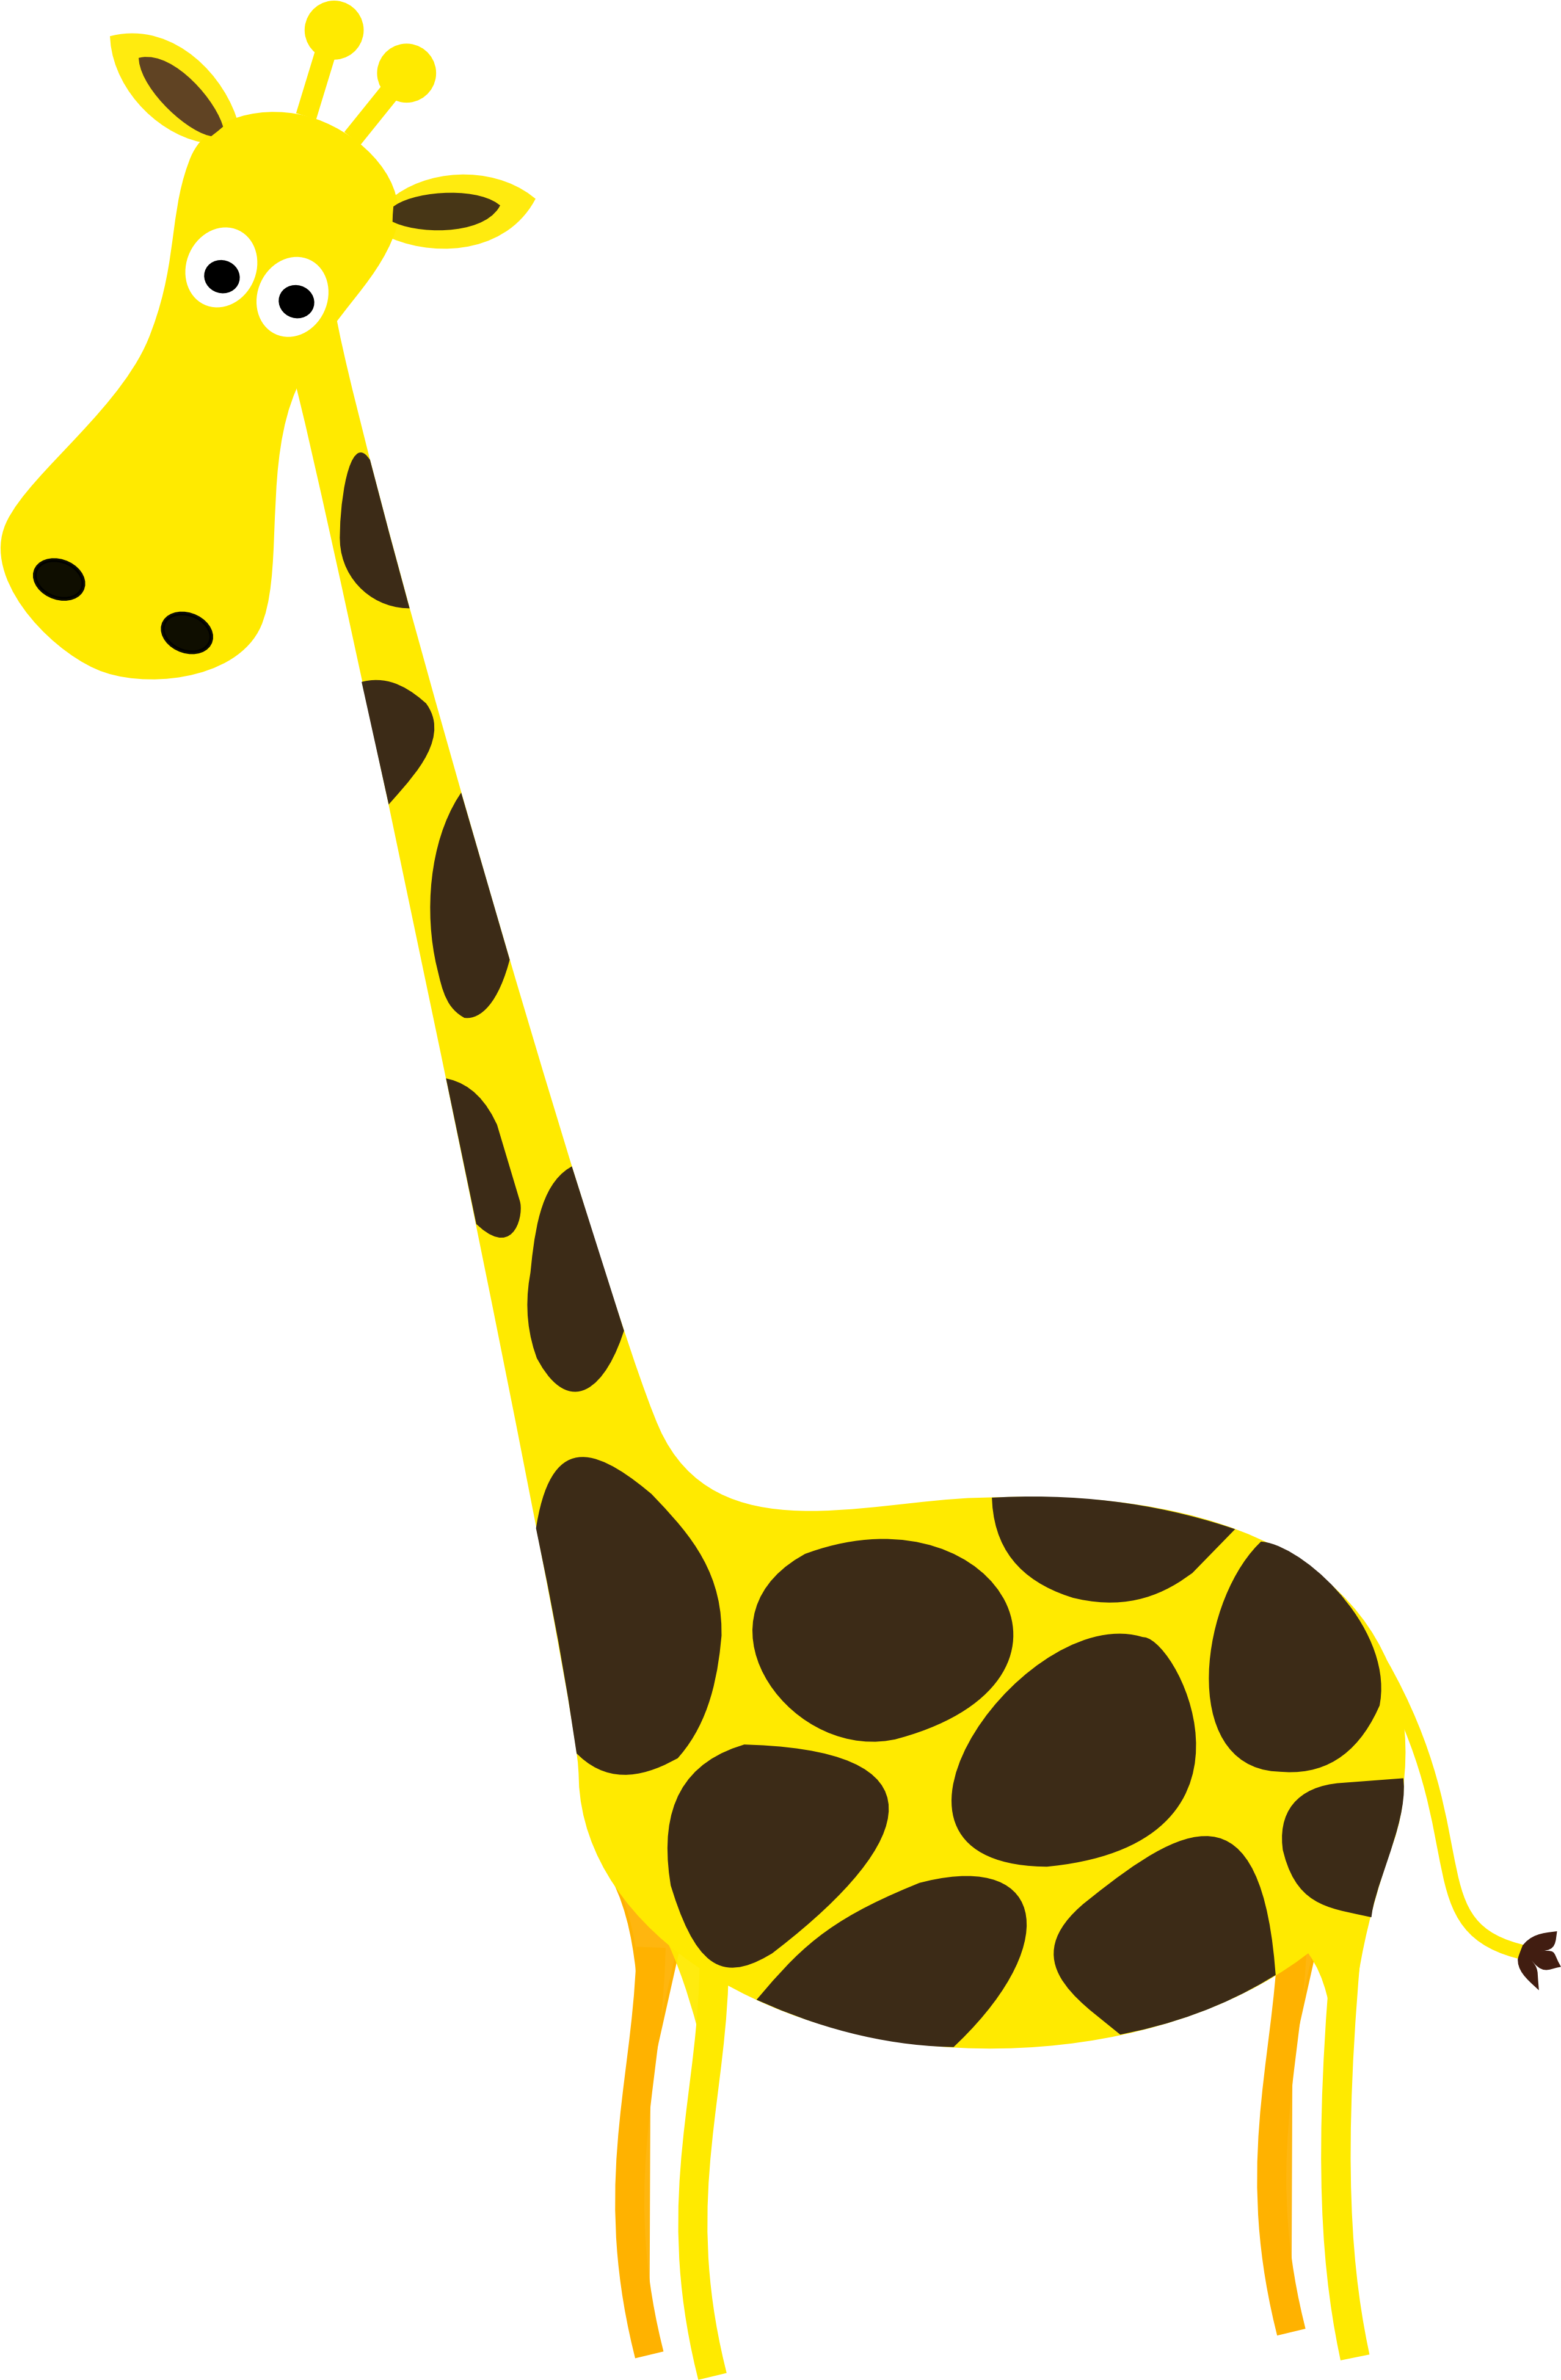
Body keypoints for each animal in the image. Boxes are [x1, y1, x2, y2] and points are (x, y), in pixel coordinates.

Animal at [0, 13, 1552, 2375]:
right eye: (190, 240)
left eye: (298, 292)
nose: (113, 592)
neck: (647, 1541)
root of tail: (1389, 1670)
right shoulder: (658, 1955)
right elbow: (640, 2232)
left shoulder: (728, 1963)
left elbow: (694, 2248)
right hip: (1299, 1934)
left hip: (1322, 1924)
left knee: (1321, 2154)